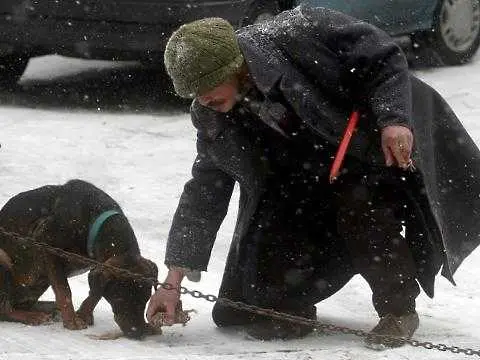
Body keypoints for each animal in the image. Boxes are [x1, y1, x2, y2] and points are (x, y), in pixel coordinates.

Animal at [0, 179, 158, 338]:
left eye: (146, 300)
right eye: (119, 299)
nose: (139, 331)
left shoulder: (98, 264)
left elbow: (95, 293)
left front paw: (83, 314)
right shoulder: (49, 247)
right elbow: (64, 290)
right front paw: (72, 321)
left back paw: (49, 309)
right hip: (4, 259)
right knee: (5, 310)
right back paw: (33, 316)